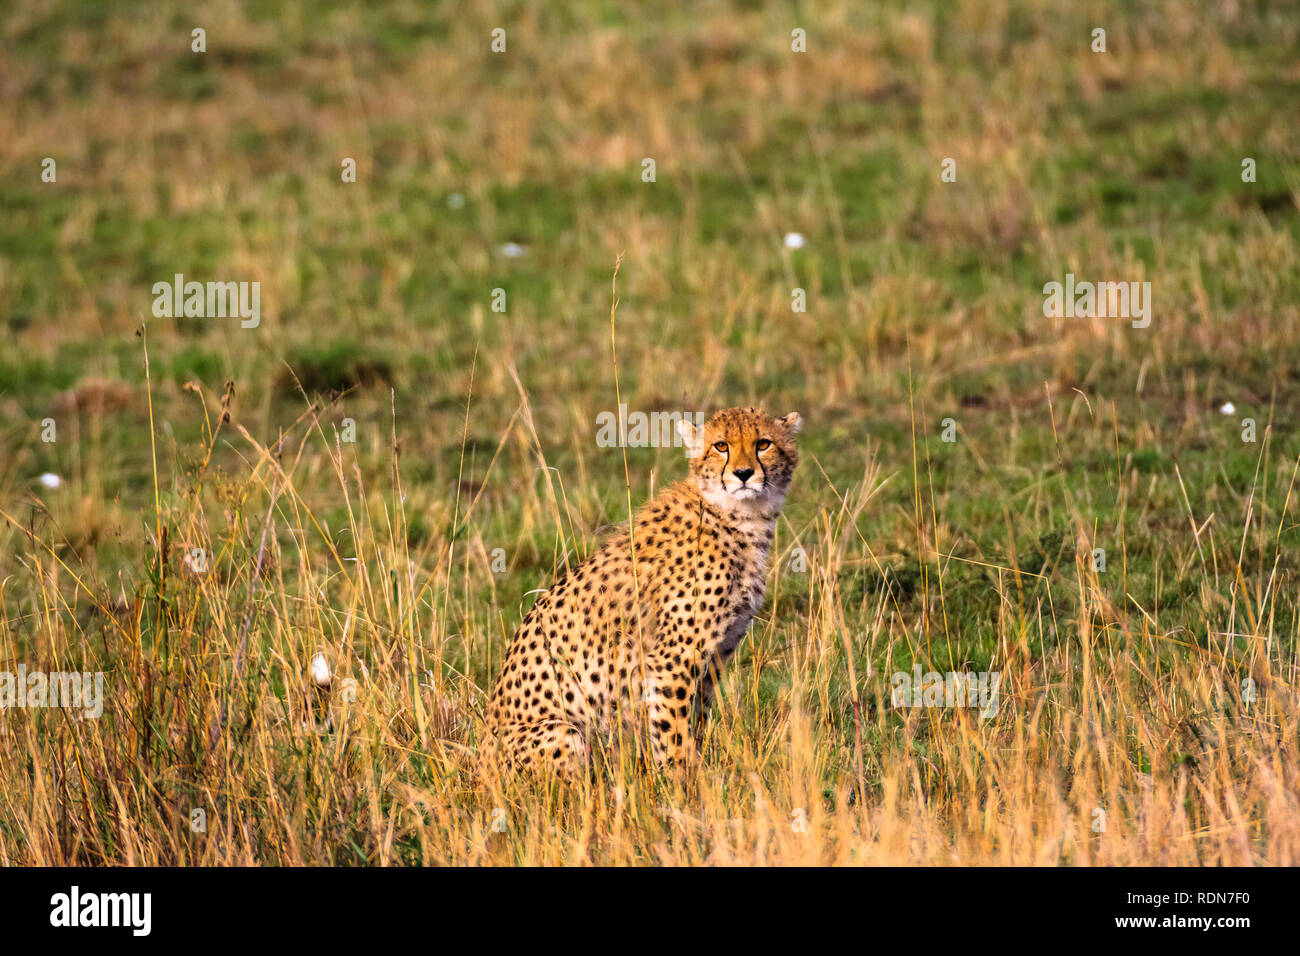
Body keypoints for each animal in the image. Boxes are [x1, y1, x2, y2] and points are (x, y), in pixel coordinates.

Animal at [483, 408, 795, 775]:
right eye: (721, 446)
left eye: (763, 444)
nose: (744, 474)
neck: (740, 517)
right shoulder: (672, 660)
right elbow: (674, 733)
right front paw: (682, 781)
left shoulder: (714, 657)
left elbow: (696, 722)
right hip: (565, 733)